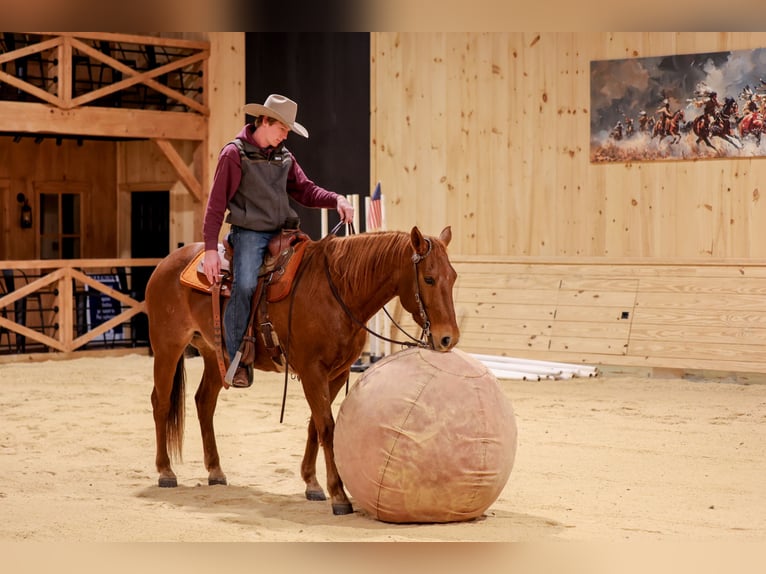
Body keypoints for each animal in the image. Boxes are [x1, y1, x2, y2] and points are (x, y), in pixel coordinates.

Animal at [144, 226, 460, 515]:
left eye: (453, 276)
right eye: (429, 278)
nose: (448, 338)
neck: (337, 293)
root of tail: (166, 262)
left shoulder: (337, 373)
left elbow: (314, 425)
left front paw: (312, 484)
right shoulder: (312, 371)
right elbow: (327, 427)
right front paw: (339, 496)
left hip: (212, 353)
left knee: (204, 402)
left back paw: (215, 471)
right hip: (167, 347)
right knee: (161, 402)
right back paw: (165, 471)